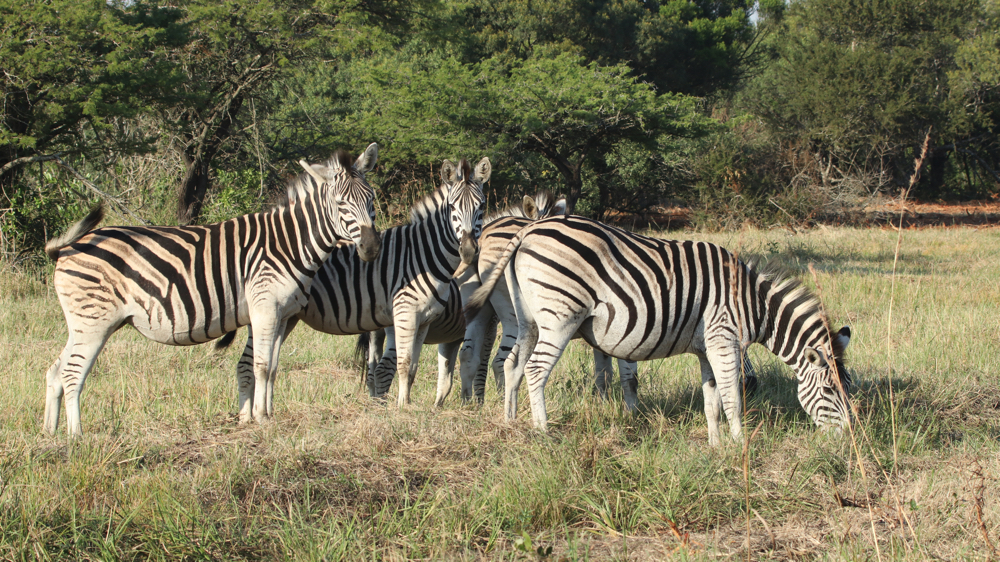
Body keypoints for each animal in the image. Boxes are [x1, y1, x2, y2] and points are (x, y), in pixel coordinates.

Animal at [42, 144, 382, 435]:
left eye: (371, 200)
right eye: (340, 204)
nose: (370, 248)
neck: (289, 243)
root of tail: (67, 247)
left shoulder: (283, 314)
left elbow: (272, 366)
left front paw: (266, 415)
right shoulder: (265, 309)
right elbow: (261, 366)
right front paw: (260, 418)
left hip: (82, 324)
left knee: (55, 370)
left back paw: (50, 432)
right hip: (94, 322)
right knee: (72, 373)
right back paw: (76, 436)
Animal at [232, 157, 488, 409]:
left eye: (482, 206)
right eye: (452, 207)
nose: (468, 251)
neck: (423, 253)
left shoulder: (424, 319)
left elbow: (413, 368)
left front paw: (407, 405)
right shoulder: (405, 313)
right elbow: (404, 363)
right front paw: (402, 409)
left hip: (287, 316)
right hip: (267, 312)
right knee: (248, 363)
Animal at [465, 215, 851, 445]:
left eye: (847, 388)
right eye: (829, 391)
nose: (850, 437)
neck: (752, 304)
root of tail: (527, 229)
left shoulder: (706, 347)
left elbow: (711, 400)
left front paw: (715, 445)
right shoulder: (723, 339)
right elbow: (732, 397)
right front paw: (740, 447)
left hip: (527, 319)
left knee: (512, 365)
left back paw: (511, 423)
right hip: (560, 317)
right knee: (534, 370)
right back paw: (543, 430)